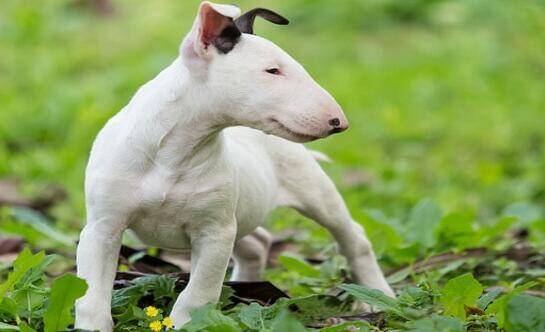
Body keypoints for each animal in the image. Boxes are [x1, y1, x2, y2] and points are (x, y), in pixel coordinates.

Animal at [74, 1, 394, 330]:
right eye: (272, 70)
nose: (339, 122)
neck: (172, 154)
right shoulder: (103, 228)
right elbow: (92, 295)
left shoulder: (215, 232)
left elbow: (198, 295)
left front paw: (187, 322)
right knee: (258, 242)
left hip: (312, 192)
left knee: (353, 238)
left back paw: (377, 296)